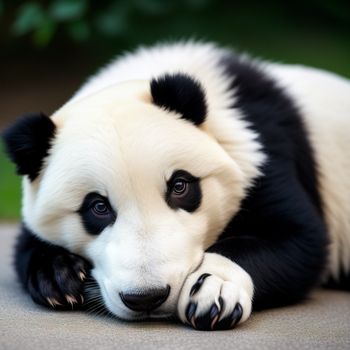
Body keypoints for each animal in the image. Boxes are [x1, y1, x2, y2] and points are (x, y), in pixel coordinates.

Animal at [2, 41, 350, 330]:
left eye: (180, 187)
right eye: (97, 207)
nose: (146, 297)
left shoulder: (264, 146)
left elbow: (300, 240)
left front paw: (212, 290)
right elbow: (28, 241)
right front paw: (58, 275)